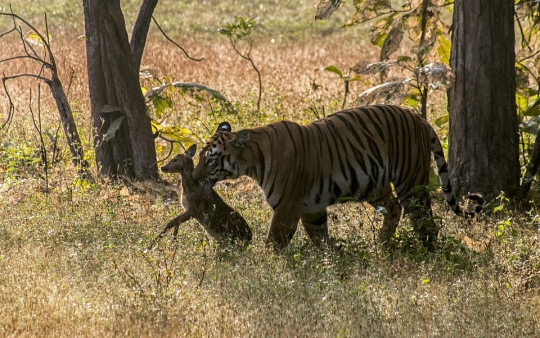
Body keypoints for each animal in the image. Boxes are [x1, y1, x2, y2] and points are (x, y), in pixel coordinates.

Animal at [192, 104, 484, 250]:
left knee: (425, 221)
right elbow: (321, 237)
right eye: (200, 157)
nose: (193, 178)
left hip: (410, 183)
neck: (253, 161)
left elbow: (274, 242)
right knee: (394, 208)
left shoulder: (286, 207)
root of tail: (419, 118)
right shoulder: (312, 208)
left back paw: (427, 253)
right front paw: (330, 262)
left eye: (211, 159)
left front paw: (266, 269)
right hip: (374, 185)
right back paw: (382, 247)